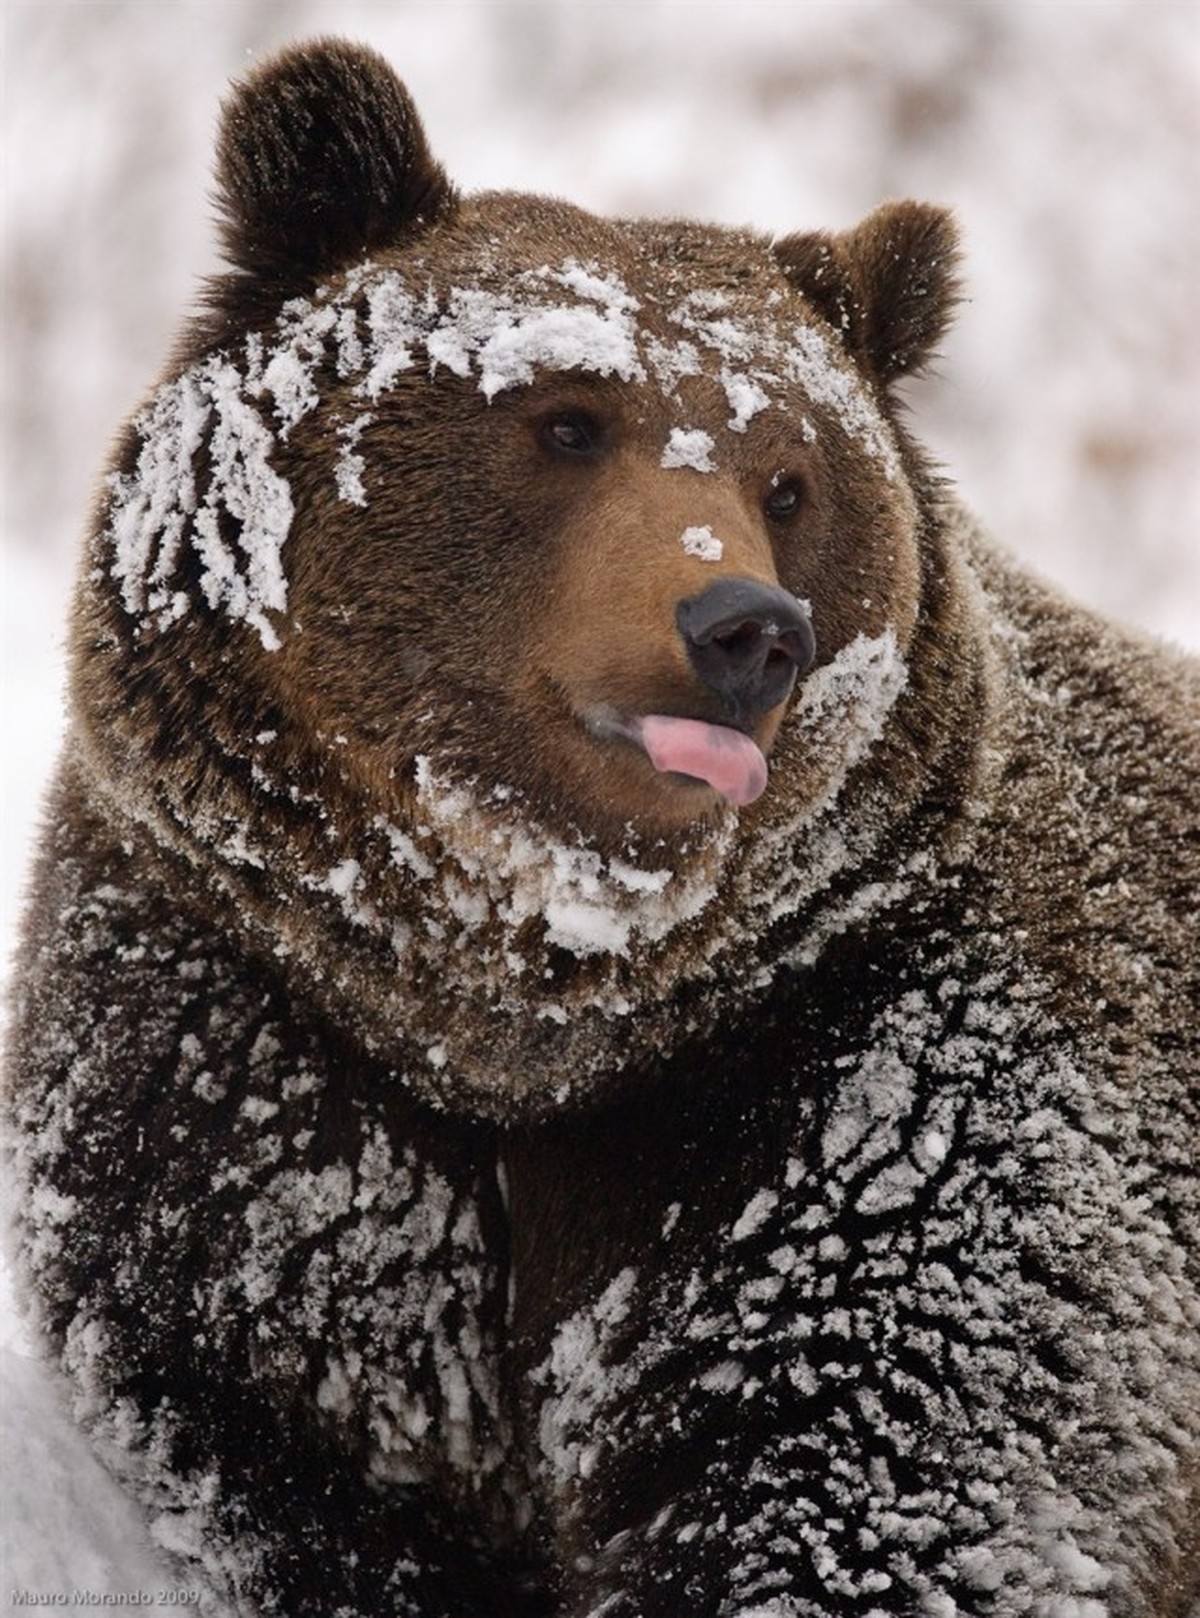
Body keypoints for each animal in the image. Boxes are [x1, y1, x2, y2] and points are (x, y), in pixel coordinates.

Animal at [3, 33, 1198, 1618]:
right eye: (565, 419)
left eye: (789, 479)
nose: (745, 628)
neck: (529, 1012)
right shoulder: (252, 1047)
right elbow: (298, 1435)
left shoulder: (869, 1088)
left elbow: (872, 1481)